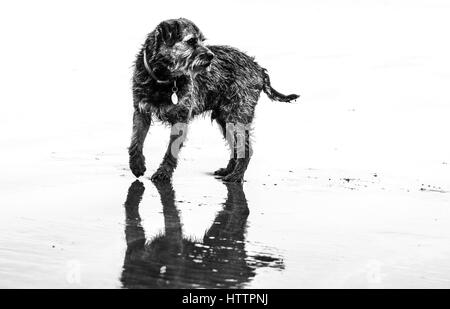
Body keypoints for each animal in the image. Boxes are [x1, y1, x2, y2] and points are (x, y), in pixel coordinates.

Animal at [129, 17, 298, 180]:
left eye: (202, 40)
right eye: (191, 41)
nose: (211, 56)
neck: (163, 78)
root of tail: (258, 68)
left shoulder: (180, 118)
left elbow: (172, 149)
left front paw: (163, 173)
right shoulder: (141, 112)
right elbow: (136, 141)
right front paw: (136, 165)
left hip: (237, 116)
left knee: (245, 149)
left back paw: (236, 176)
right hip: (225, 120)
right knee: (236, 147)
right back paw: (228, 170)